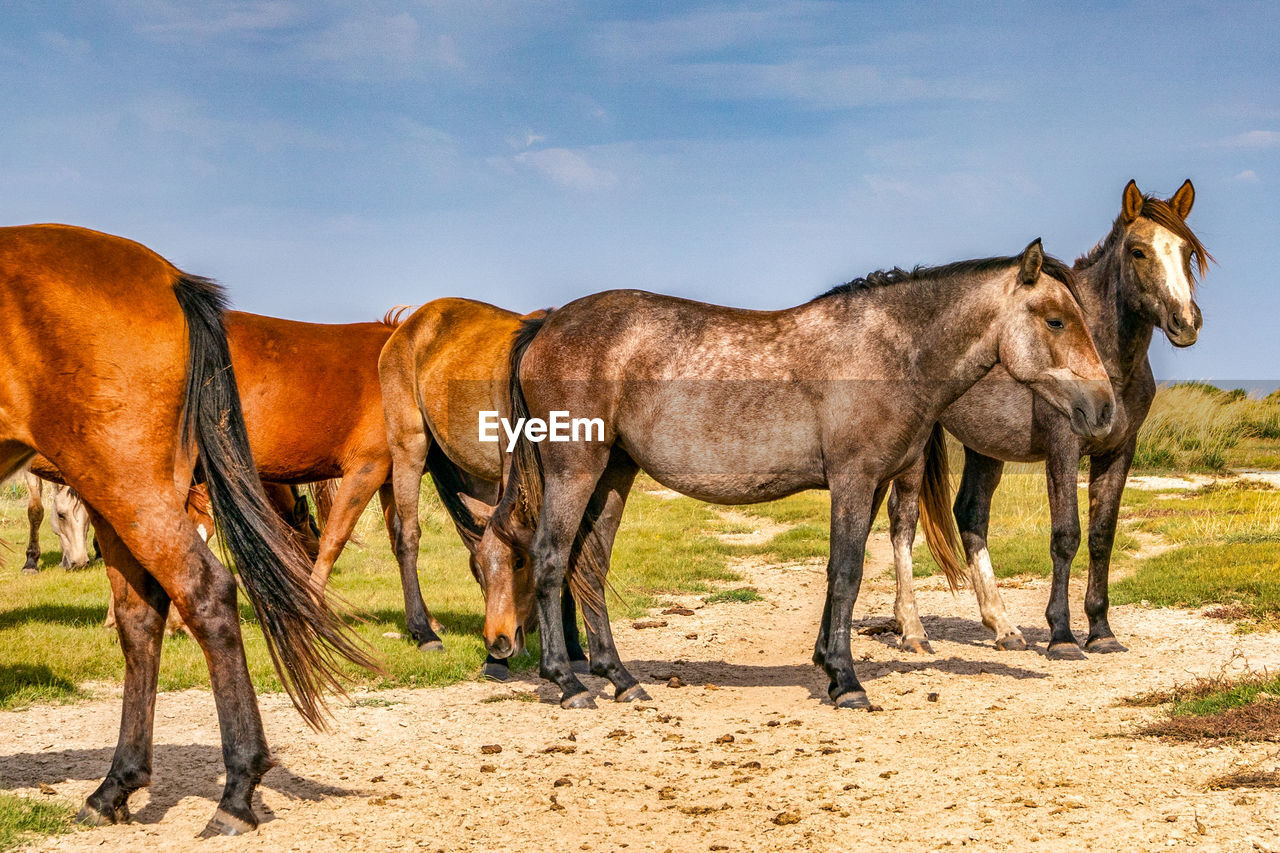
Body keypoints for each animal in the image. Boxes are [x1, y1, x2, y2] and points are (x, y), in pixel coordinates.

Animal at [0, 222, 373, 835]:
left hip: (123, 478)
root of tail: (169, 279)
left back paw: (237, 792)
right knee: (140, 615)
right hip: (116, 488)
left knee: (205, 591)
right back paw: (115, 786)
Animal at [378, 297, 588, 666]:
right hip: (408, 445)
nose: (500, 642)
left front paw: (573, 644)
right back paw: (424, 632)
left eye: (520, 562)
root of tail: (406, 325)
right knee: (407, 536)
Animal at [494, 240, 1116, 712]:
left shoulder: (873, 485)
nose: (1105, 410)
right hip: (575, 469)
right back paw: (568, 683)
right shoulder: (853, 480)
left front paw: (829, 665)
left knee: (590, 567)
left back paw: (621, 679)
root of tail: (545, 324)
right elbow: (845, 574)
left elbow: (846, 573)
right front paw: (847, 681)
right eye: (1056, 320)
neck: (888, 352)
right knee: (551, 558)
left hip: (613, 475)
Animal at [885, 179, 1213, 653]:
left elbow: (1101, 536)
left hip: (985, 449)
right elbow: (1066, 535)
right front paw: (1061, 635)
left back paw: (1002, 627)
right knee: (903, 518)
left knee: (970, 514)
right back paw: (912, 629)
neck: (1104, 355)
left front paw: (1101, 632)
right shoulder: (1063, 445)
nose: (1185, 322)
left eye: (1187, 251)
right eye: (1137, 251)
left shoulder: (1119, 450)